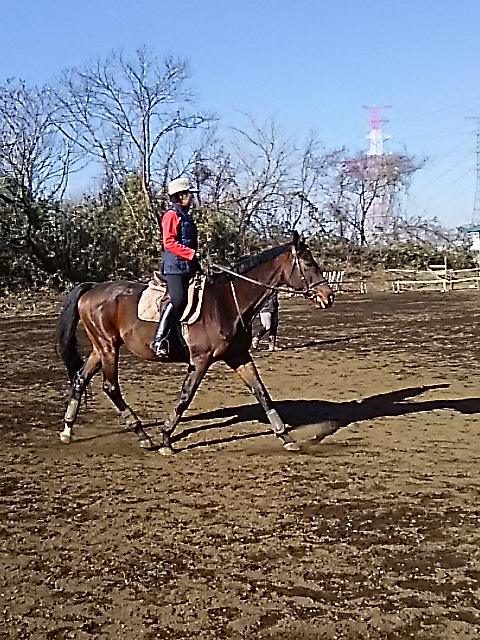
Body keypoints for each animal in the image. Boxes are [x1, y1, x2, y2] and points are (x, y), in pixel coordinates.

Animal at [56, 232, 335, 454]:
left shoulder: (238, 356)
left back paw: (68, 431)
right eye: (308, 263)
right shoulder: (201, 359)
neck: (226, 302)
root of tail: (92, 288)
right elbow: (185, 397)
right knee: (110, 387)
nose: (328, 296)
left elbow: (262, 393)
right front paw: (166, 439)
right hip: (109, 347)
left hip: (100, 348)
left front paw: (285, 436)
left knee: (80, 378)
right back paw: (142, 435)